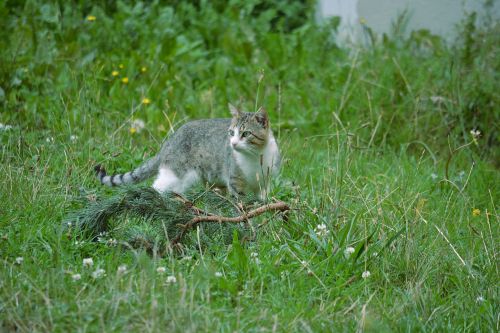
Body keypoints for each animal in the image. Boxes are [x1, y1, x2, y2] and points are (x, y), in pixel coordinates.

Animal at [94, 102, 280, 198]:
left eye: (245, 133)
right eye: (231, 133)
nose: (233, 144)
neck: (255, 156)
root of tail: (170, 140)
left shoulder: (264, 183)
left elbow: (262, 201)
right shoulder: (235, 182)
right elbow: (242, 205)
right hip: (177, 173)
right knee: (158, 186)